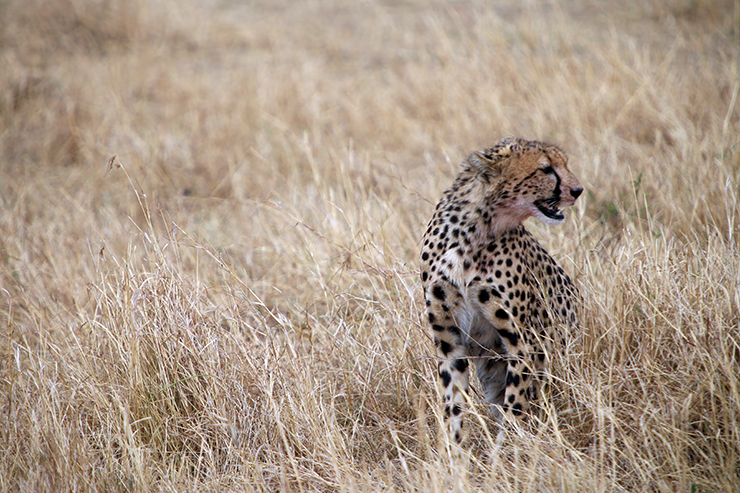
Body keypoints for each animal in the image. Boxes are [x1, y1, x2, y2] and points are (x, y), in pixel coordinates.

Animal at [420, 136, 580, 444]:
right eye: (546, 169)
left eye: (565, 164)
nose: (578, 191)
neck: (475, 229)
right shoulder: (448, 340)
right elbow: (453, 405)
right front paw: (454, 453)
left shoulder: (524, 341)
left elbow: (515, 405)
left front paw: (508, 451)